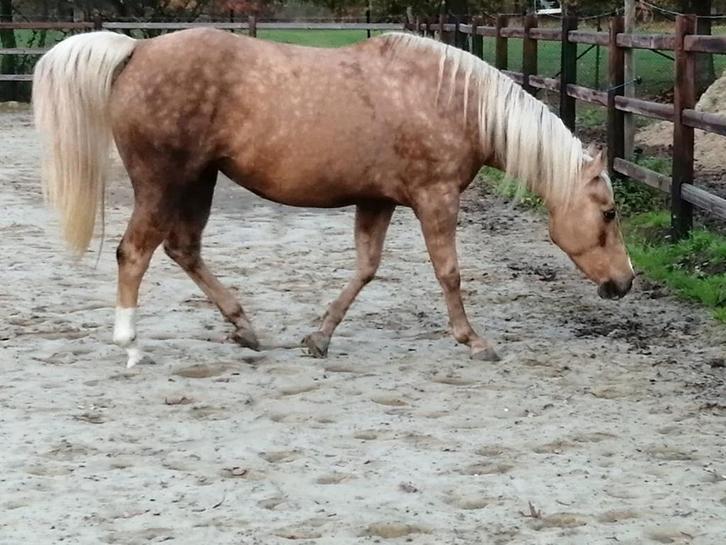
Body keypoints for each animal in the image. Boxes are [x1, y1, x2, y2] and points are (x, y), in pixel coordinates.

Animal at [32, 29, 634, 368]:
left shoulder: (378, 201)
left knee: (184, 250)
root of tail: (136, 49)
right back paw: (131, 344)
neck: (452, 101)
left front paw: (318, 338)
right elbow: (449, 272)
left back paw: (244, 327)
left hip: (198, 182)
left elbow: (365, 268)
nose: (625, 283)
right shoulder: (435, 199)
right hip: (163, 183)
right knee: (135, 254)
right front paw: (474, 341)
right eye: (607, 212)